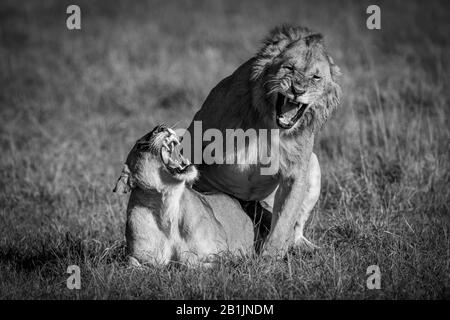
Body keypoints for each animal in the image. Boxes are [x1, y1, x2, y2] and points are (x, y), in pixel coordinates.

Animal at [112, 125, 253, 268]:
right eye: (140, 146)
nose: (161, 127)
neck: (167, 205)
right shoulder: (135, 256)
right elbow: (132, 262)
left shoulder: (223, 254)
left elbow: (189, 261)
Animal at [185, 25, 340, 256]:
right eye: (289, 68)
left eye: (316, 77)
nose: (297, 90)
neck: (270, 126)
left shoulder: (295, 173)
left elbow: (285, 220)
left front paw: (269, 258)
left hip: (313, 165)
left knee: (296, 228)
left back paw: (306, 247)